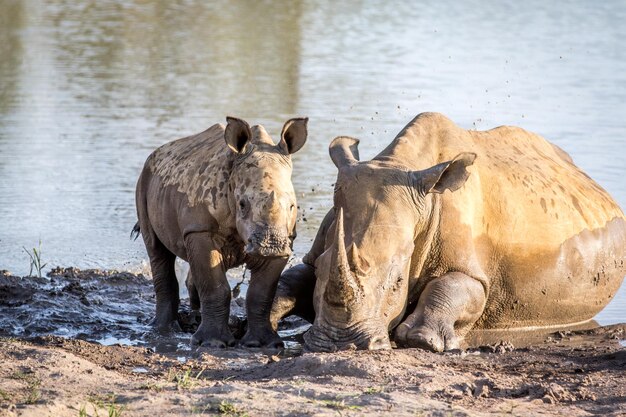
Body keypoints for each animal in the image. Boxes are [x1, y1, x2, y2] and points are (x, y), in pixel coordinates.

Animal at [135, 116, 308, 348]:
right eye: (242, 204)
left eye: (292, 206)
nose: (270, 246)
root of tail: (158, 151)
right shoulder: (199, 230)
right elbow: (215, 286)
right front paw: (212, 343)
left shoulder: (286, 238)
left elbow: (261, 293)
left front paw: (262, 344)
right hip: (144, 180)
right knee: (156, 249)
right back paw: (164, 330)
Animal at [272, 111, 624, 352]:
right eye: (322, 269)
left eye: (397, 282)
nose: (339, 343)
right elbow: (290, 280)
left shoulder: (476, 271)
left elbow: (457, 286)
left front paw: (423, 339)